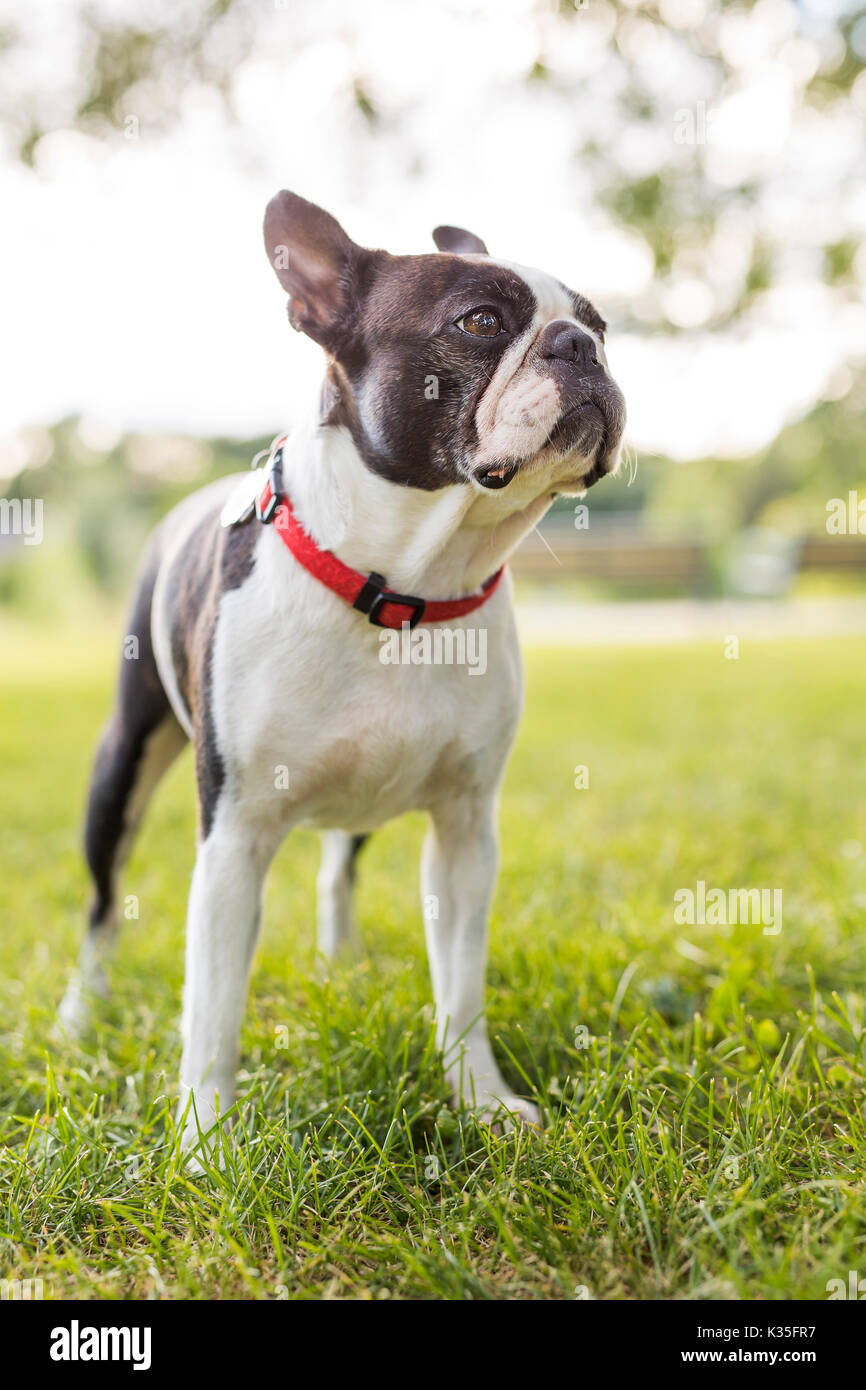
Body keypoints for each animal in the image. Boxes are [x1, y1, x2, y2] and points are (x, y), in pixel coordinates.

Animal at [61, 193, 625, 1150]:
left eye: (602, 325)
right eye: (481, 322)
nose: (580, 347)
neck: (403, 588)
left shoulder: (466, 833)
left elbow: (461, 988)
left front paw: (480, 1101)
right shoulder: (233, 839)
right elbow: (213, 1010)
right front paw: (207, 1145)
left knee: (335, 863)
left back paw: (341, 961)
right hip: (120, 767)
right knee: (103, 901)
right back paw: (80, 1011)